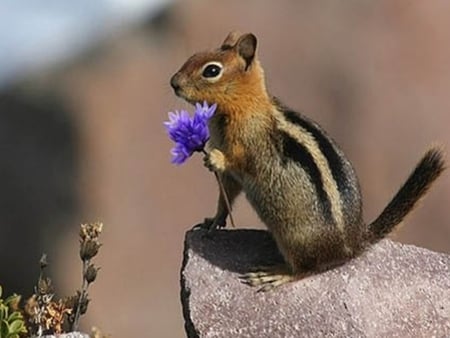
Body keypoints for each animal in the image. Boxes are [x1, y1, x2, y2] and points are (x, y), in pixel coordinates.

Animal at [170, 31, 446, 290]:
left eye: (212, 70)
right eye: (194, 55)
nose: (174, 83)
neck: (245, 106)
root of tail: (354, 242)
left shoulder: (251, 145)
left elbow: (240, 162)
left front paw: (215, 158)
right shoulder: (231, 179)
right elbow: (225, 197)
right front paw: (213, 221)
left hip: (294, 238)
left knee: (307, 269)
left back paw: (276, 274)